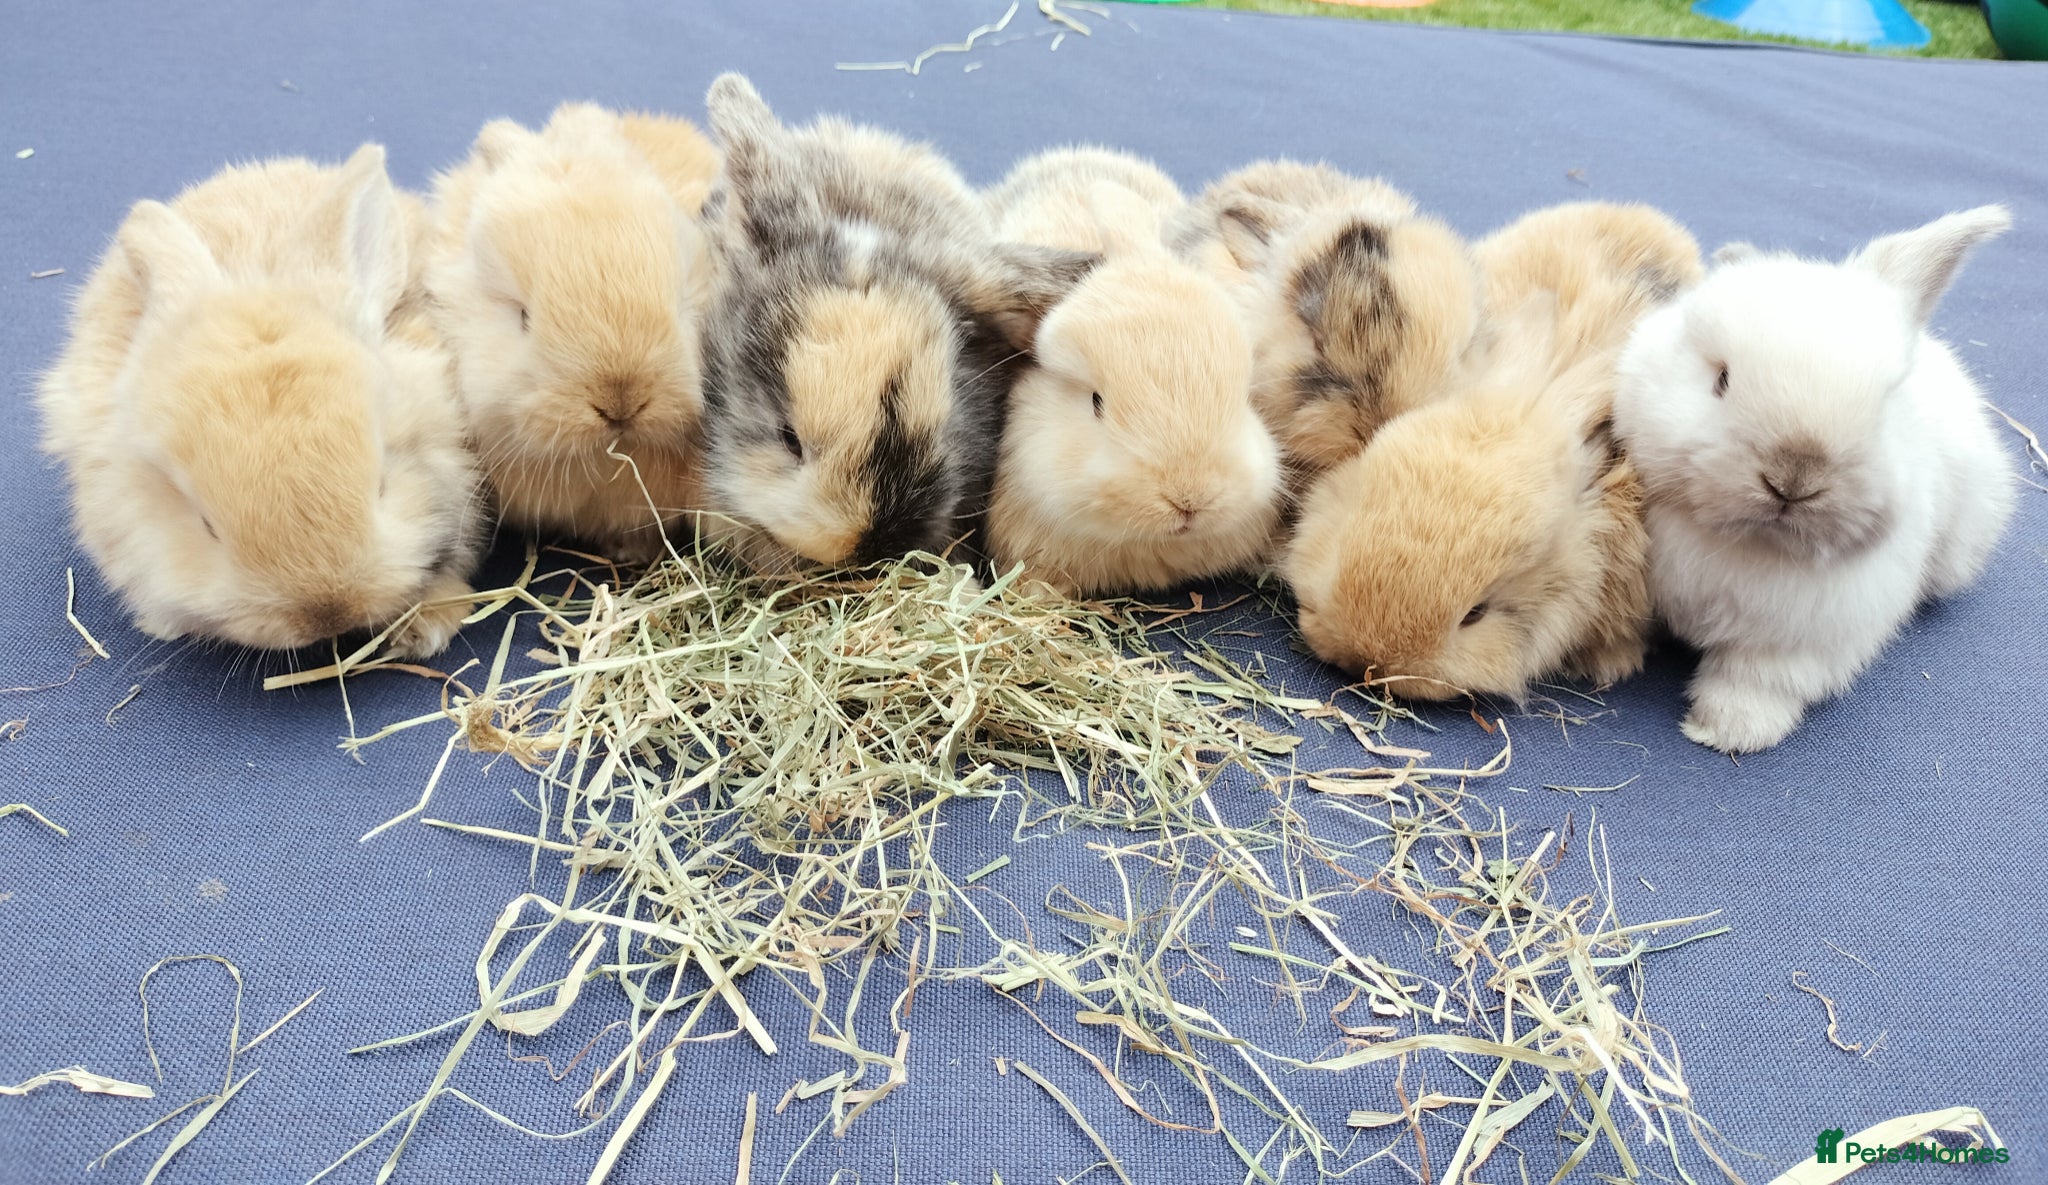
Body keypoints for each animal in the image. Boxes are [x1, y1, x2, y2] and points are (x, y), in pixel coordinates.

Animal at [1612, 205, 2018, 753]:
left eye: (1886, 402)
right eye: (1721, 379)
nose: (1795, 477)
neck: (1749, 545)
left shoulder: (1796, 643)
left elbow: (1752, 683)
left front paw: (1723, 733)